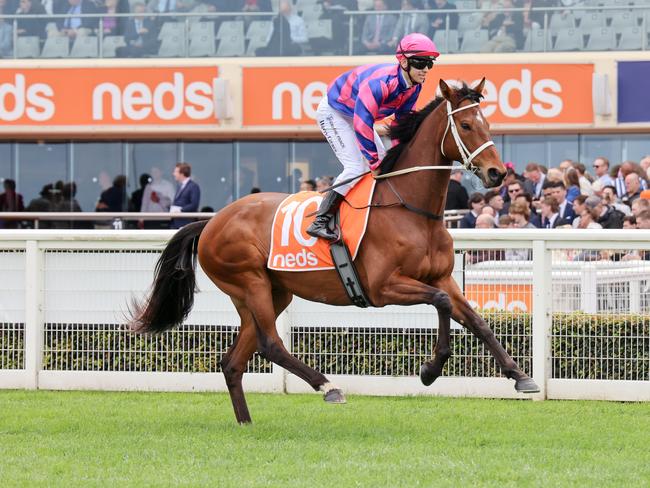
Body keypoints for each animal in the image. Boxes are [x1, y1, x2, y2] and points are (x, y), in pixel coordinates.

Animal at [129, 79, 540, 424]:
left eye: (488, 123)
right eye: (467, 125)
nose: (497, 173)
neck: (409, 208)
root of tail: (211, 222)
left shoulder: (441, 276)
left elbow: (477, 321)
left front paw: (520, 375)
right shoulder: (382, 287)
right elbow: (439, 303)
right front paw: (430, 369)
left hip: (270, 292)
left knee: (233, 361)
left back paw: (246, 422)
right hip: (249, 281)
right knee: (271, 344)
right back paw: (328, 386)